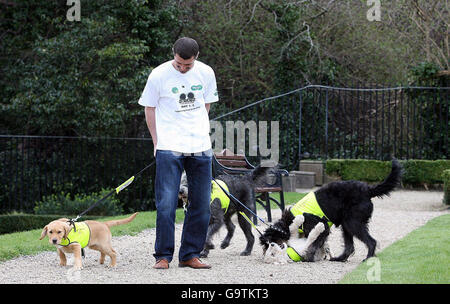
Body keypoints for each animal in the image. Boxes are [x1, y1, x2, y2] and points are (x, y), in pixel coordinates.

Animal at [258, 159, 402, 262]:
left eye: (269, 243)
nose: (264, 253)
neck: (288, 221)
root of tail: (368, 190)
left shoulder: (323, 227)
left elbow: (313, 244)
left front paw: (308, 257)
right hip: (346, 224)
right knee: (349, 247)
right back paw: (339, 258)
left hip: (353, 223)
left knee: (371, 241)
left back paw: (368, 258)